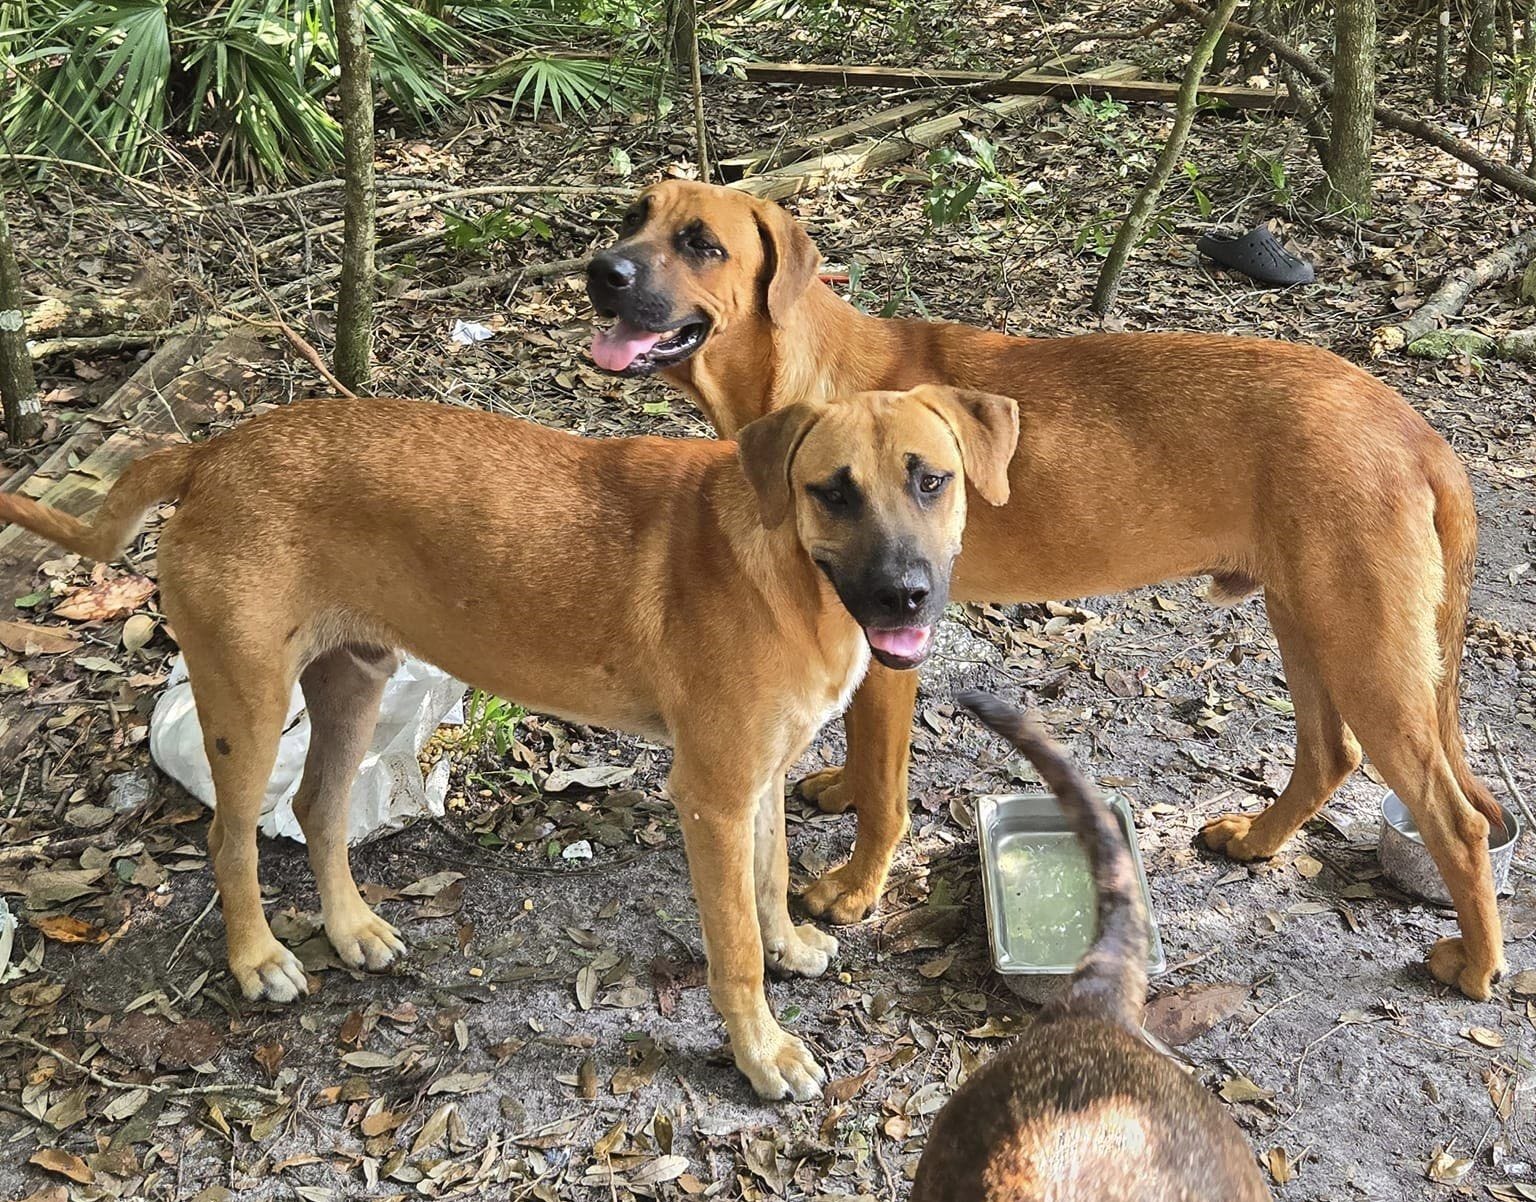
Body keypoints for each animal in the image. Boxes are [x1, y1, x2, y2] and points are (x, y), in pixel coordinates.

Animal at [0, 385, 1026, 1099]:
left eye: (931, 480)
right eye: (832, 492)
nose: (905, 596)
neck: (783, 562)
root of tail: (208, 453)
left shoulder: (760, 779)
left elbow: (770, 884)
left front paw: (788, 948)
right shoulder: (713, 794)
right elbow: (730, 945)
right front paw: (762, 1050)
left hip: (353, 681)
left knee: (317, 806)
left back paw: (351, 928)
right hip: (246, 702)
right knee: (230, 837)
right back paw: (257, 959)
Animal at [586, 181, 1511, 1007]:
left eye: (702, 243)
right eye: (634, 216)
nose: (602, 271)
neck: (806, 376)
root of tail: (1418, 431)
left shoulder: (892, 646)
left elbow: (886, 790)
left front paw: (855, 886)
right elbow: (863, 756)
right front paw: (841, 789)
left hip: (1364, 646)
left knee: (1454, 819)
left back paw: (1474, 965)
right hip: (1307, 617)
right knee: (1329, 755)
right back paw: (1257, 840)